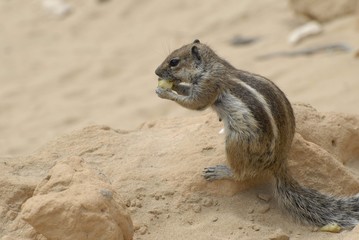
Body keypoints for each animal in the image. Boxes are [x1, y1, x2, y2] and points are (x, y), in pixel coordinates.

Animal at [156, 39, 359, 229]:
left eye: (174, 61)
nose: (156, 73)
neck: (211, 65)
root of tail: (279, 163)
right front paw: (174, 86)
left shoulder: (208, 85)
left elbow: (195, 103)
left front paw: (164, 91)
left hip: (236, 142)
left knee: (241, 174)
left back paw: (222, 171)